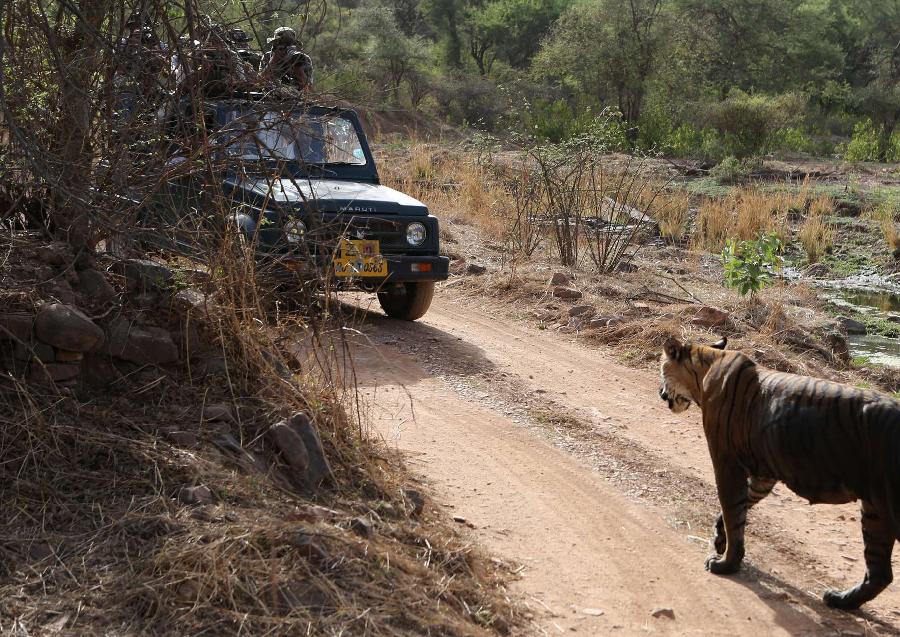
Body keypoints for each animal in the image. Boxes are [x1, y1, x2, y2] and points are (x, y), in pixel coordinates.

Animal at [656, 336, 900, 608]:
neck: (705, 366)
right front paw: (720, 541)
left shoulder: (727, 463)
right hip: (875, 511)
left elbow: (732, 513)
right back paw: (841, 600)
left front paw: (726, 563)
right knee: (880, 572)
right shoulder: (762, 476)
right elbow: (737, 511)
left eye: (662, 371)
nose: (660, 393)